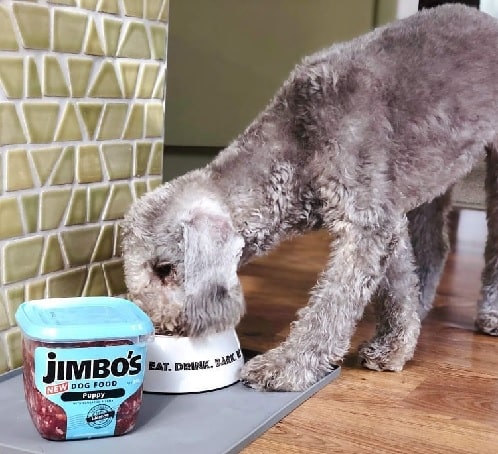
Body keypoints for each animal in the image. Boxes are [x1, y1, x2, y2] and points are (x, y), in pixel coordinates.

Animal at [120, 4, 498, 390]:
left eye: (165, 269)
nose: (162, 328)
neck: (299, 140)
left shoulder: (364, 221)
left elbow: (332, 304)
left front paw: (287, 365)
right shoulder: (386, 216)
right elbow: (398, 284)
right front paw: (393, 346)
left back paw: (491, 315)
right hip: (433, 176)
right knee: (434, 244)